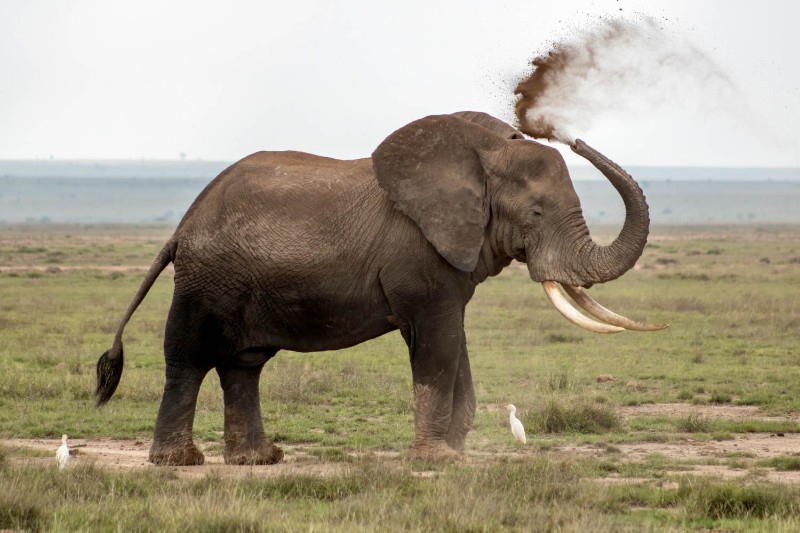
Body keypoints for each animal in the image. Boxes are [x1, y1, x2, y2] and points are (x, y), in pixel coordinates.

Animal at [95, 111, 666, 466]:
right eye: (536, 214)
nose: (572, 137)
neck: (482, 153)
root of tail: (184, 224)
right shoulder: (418, 255)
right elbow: (436, 344)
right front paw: (438, 460)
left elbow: (453, 342)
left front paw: (452, 454)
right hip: (207, 279)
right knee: (189, 358)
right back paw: (180, 462)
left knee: (243, 365)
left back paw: (259, 460)